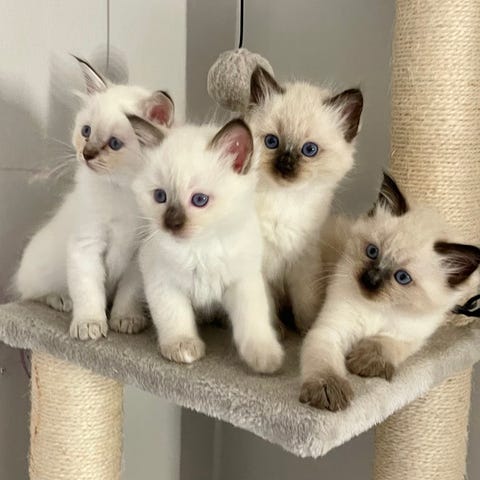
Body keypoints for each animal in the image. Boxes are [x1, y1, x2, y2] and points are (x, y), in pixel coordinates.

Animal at [14, 57, 174, 340]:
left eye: (114, 143)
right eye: (86, 131)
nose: (86, 154)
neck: (122, 191)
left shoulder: (139, 254)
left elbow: (129, 294)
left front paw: (126, 320)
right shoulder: (86, 245)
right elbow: (88, 292)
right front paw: (89, 325)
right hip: (41, 269)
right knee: (32, 293)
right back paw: (61, 300)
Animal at [130, 115, 284, 373]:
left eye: (199, 200)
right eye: (160, 197)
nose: (172, 224)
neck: (199, 248)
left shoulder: (242, 281)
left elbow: (252, 320)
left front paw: (265, 359)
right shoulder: (161, 280)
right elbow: (174, 317)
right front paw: (183, 347)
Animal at [245, 66, 363, 332]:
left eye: (309, 150)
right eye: (272, 142)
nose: (286, 165)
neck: (285, 201)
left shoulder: (304, 261)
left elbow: (306, 302)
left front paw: (306, 329)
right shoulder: (259, 267)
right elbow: (266, 306)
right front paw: (277, 331)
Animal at [299, 173, 480, 411]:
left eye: (402, 277)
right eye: (372, 252)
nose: (370, 280)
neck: (379, 309)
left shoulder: (407, 336)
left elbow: (383, 344)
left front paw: (363, 363)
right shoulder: (329, 331)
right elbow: (324, 365)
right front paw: (328, 390)